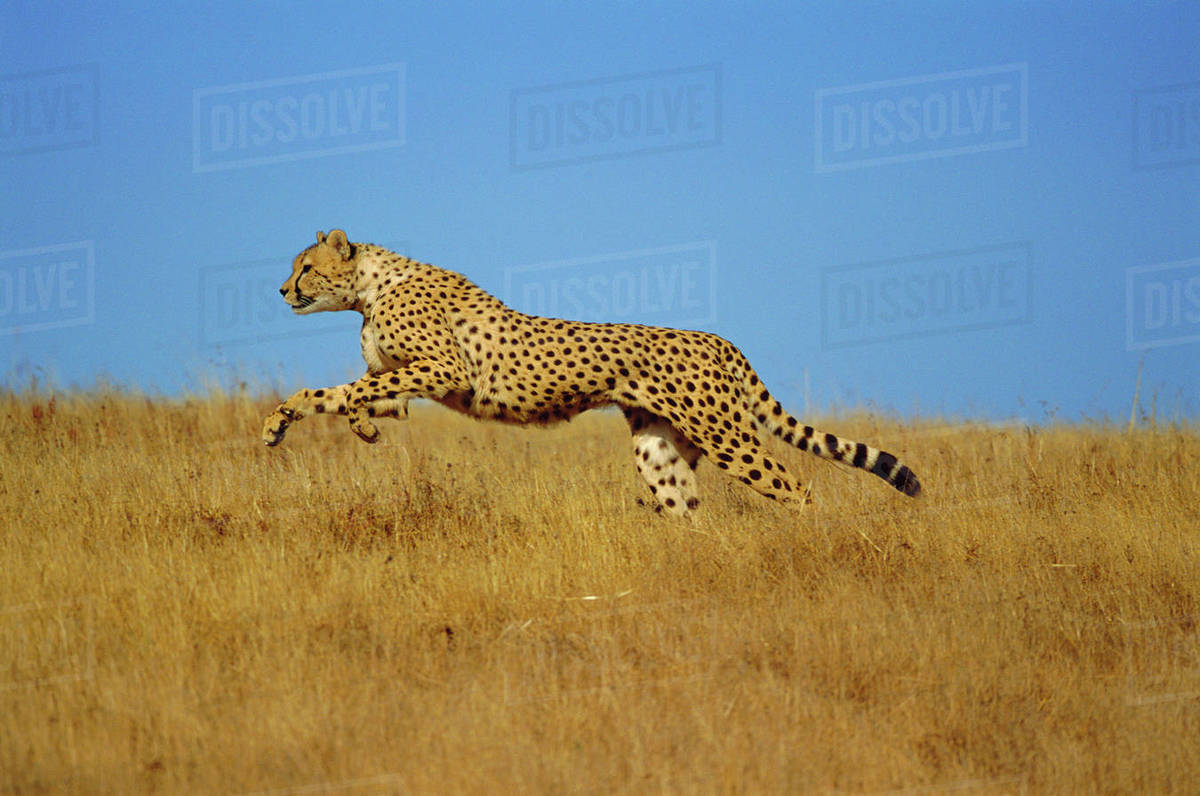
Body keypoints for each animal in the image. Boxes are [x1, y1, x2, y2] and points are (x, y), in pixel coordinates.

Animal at [261, 230, 921, 516]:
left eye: (306, 267)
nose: (283, 290)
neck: (369, 288)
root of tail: (716, 336)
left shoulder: (446, 371)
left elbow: (356, 391)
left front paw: (357, 426)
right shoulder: (406, 381)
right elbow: (328, 392)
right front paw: (279, 422)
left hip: (726, 435)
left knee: (795, 486)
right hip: (659, 450)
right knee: (685, 506)